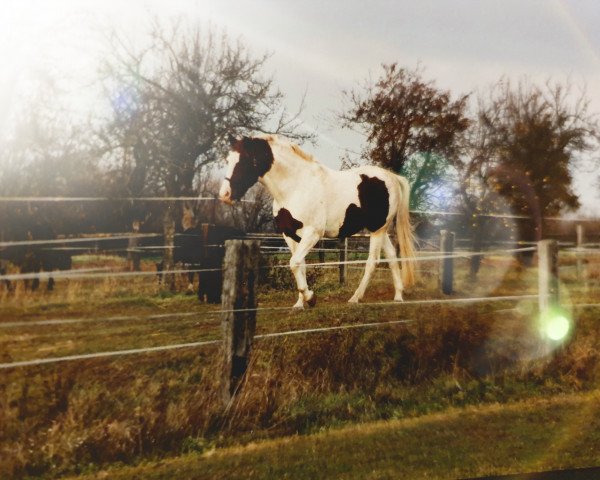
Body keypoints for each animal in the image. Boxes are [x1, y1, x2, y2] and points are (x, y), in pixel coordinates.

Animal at [218, 134, 414, 308]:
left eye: (244, 160)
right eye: (228, 160)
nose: (224, 195)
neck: (296, 186)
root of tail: (391, 177)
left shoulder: (312, 234)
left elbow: (294, 263)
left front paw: (310, 298)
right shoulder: (290, 235)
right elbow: (300, 265)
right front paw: (299, 303)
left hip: (377, 230)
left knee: (372, 262)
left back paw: (355, 298)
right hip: (380, 229)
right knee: (392, 256)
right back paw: (398, 296)